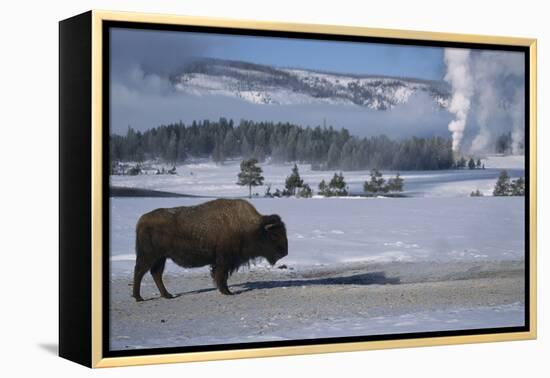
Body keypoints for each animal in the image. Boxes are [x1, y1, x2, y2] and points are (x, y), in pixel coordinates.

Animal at [133, 198, 288, 302]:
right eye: (274, 235)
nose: (284, 252)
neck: (253, 228)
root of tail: (142, 219)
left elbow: (220, 276)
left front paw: (226, 291)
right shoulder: (224, 261)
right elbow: (221, 276)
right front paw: (227, 292)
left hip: (161, 257)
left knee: (156, 273)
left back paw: (167, 295)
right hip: (149, 256)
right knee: (140, 272)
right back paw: (139, 297)